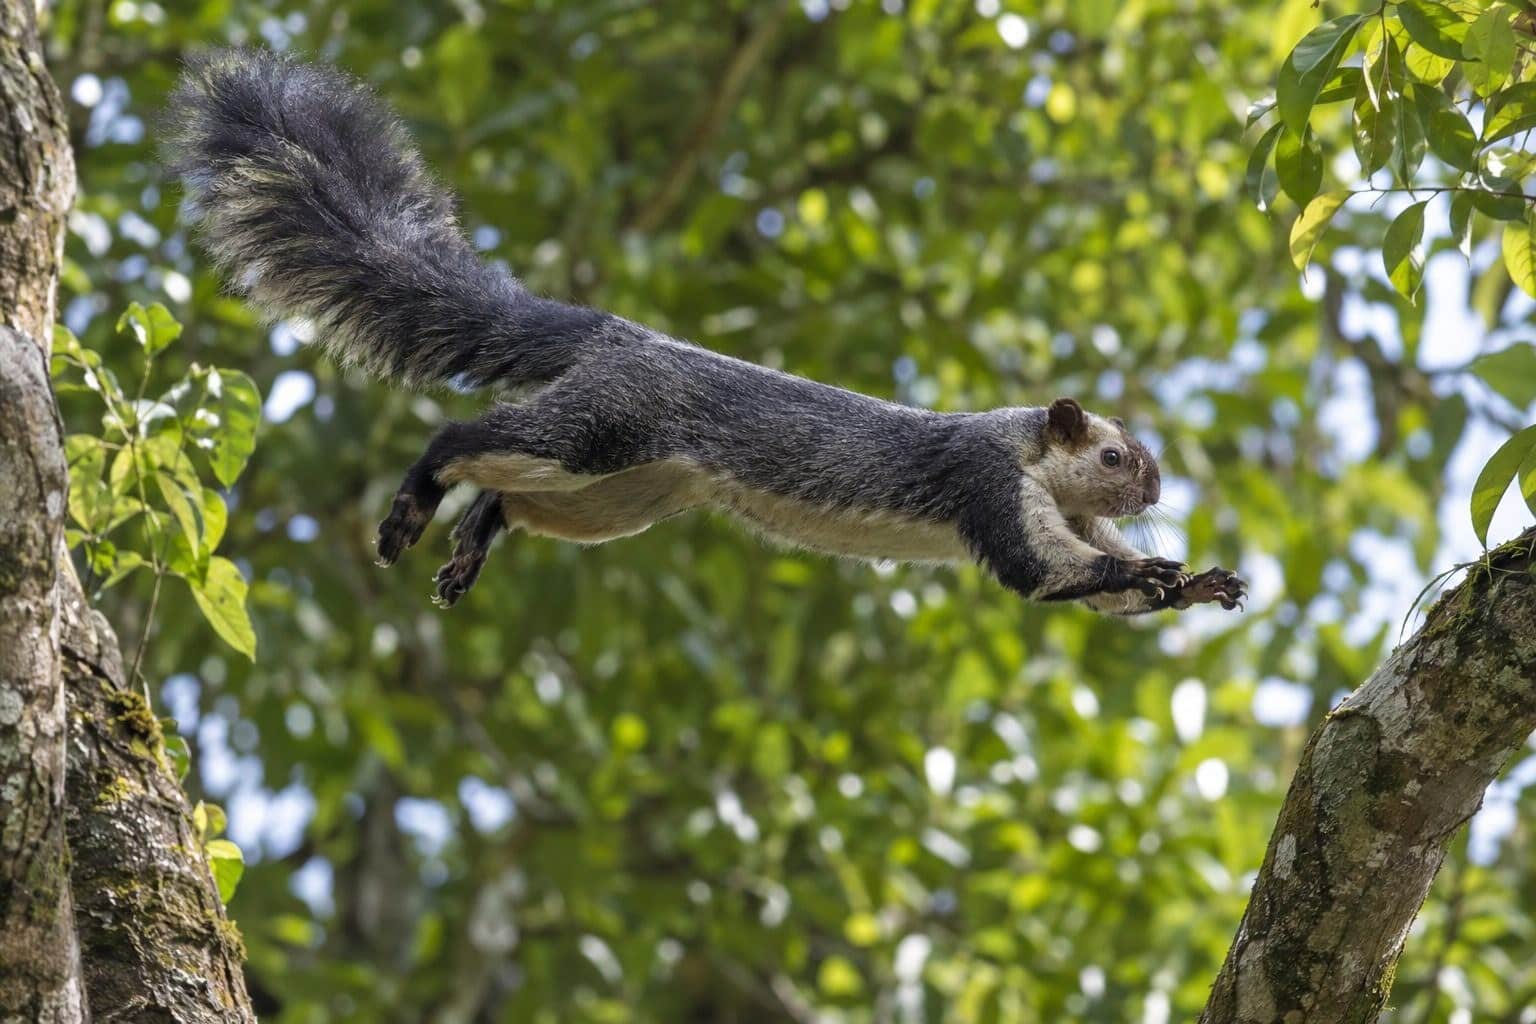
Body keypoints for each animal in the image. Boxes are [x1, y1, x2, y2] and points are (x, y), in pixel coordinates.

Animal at [165, 50, 1246, 615]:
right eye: (1113, 455)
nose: (1155, 492)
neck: (1033, 459)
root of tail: (620, 338)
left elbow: (1092, 591)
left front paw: (1195, 581)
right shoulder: (986, 484)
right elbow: (1047, 571)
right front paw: (1151, 566)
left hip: (626, 494)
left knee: (513, 496)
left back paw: (472, 544)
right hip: (604, 430)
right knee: (465, 439)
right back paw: (412, 505)